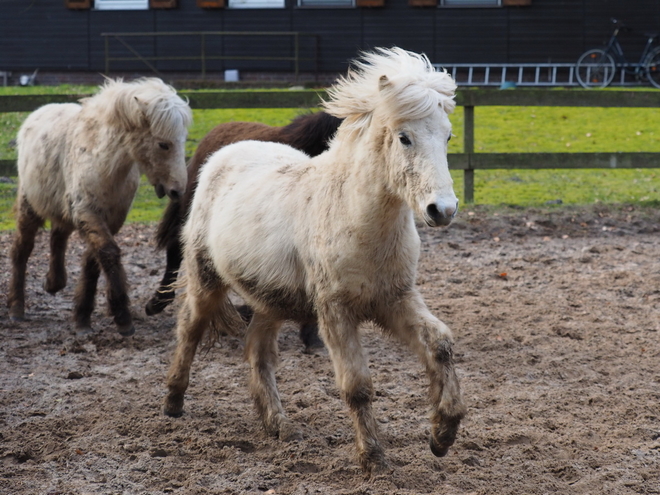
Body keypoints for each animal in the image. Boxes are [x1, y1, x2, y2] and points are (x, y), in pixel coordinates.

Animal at [9, 76, 192, 338]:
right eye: (163, 145)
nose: (178, 191)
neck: (103, 163)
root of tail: (36, 114)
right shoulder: (88, 213)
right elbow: (107, 253)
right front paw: (122, 318)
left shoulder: (111, 219)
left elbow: (92, 261)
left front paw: (83, 317)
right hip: (29, 207)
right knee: (22, 250)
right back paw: (17, 308)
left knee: (58, 237)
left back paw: (54, 282)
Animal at [164, 48, 464, 474]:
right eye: (404, 137)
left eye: (447, 136)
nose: (443, 210)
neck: (354, 218)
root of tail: (221, 156)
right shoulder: (335, 311)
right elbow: (357, 387)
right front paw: (373, 457)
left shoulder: (395, 299)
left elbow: (439, 344)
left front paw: (443, 432)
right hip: (206, 279)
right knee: (189, 329)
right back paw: (173, 401)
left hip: (269, 300)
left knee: (258, 352)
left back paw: (278, 424)